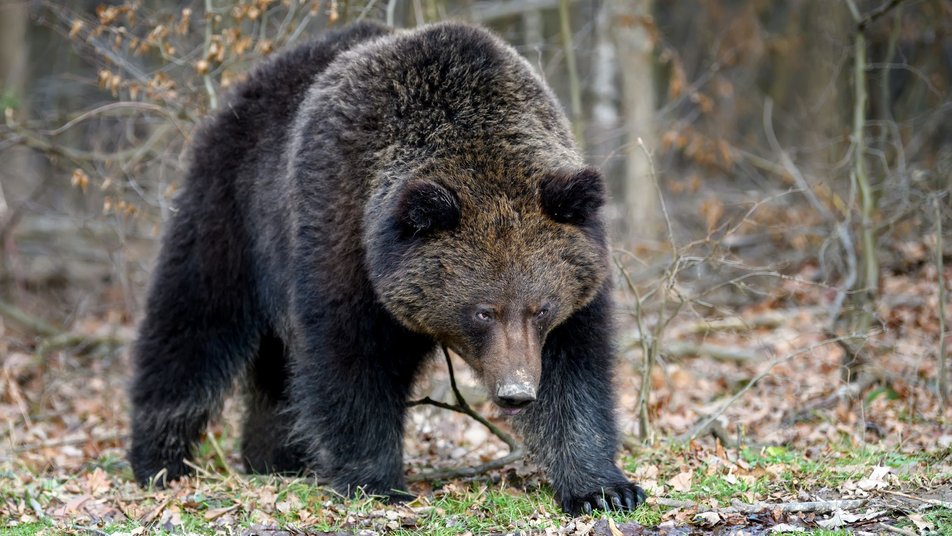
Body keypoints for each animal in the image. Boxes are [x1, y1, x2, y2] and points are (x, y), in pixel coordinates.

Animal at [128, 21, 648, 516]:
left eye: (541, 308)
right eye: (483, 311)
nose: (516, 392)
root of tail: (250, 83)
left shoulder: (578, 278)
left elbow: (575, 371)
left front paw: (604, 489)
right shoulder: (341, 231)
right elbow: (351, 361)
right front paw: (375, 483)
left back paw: (276, 458)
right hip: (234, 212)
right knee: (192, 325)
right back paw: (160, 460)